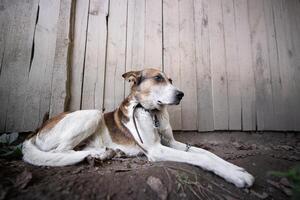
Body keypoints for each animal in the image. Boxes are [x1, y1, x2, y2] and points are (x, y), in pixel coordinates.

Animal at [22, 68, 254, 188]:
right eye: (158, 78)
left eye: (171, 80)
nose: (181, 94)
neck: (152, 112)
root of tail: (34, 132)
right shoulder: (157, 149)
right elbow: (201, 158)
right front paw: (236, 176)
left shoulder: (171, 142)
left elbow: (207, 153)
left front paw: (235, 168)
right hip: (92, 113)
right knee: (60, 151)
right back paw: (98, 153)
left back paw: (105, 153)